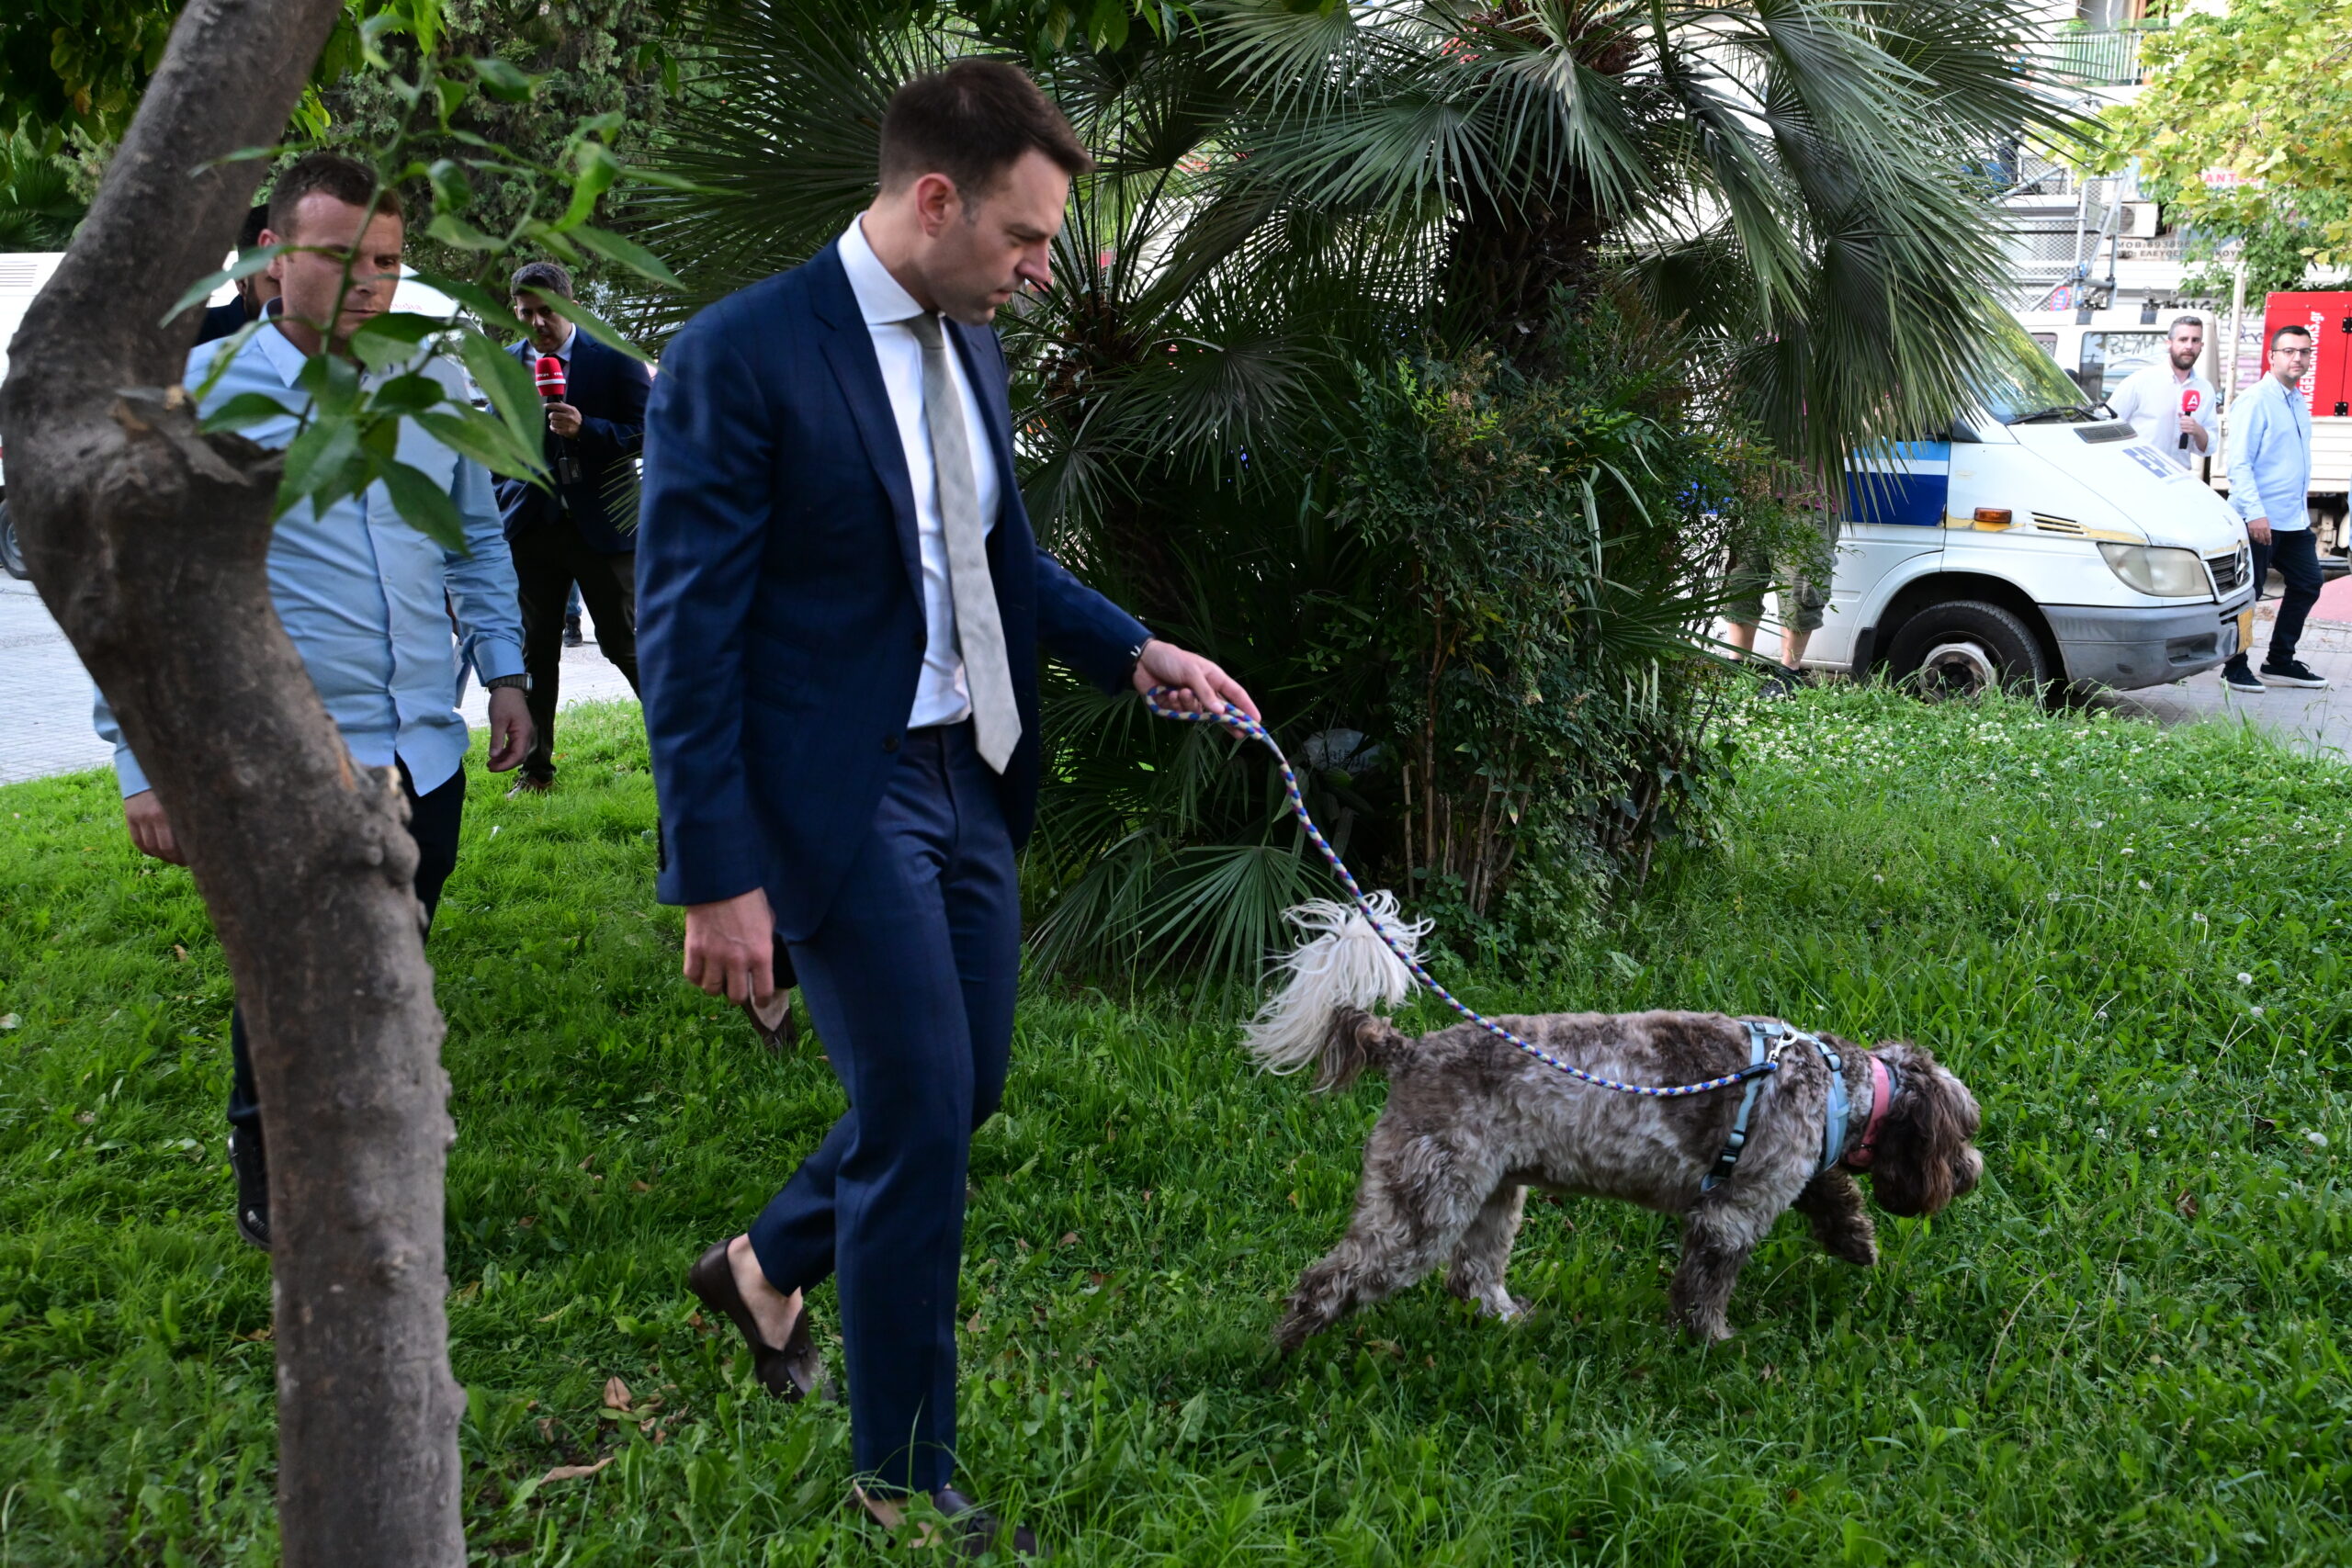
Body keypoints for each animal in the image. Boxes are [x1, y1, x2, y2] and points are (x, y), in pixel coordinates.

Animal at [1250, 902, 1984, 1344]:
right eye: (1962, 1137)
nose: (1972, 1173)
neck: (1834, 1083)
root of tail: (1409, 1049)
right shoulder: (1732, 1214)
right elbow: (1706, 1286)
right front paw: (1713, 1342)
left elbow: (1830, 1193)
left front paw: (1856, 1241)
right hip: (1422, 1207)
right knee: (1332, 1280)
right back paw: (1288, 1358)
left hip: (1492, 1196)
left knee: (1472, 1278)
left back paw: (1510, 1319)